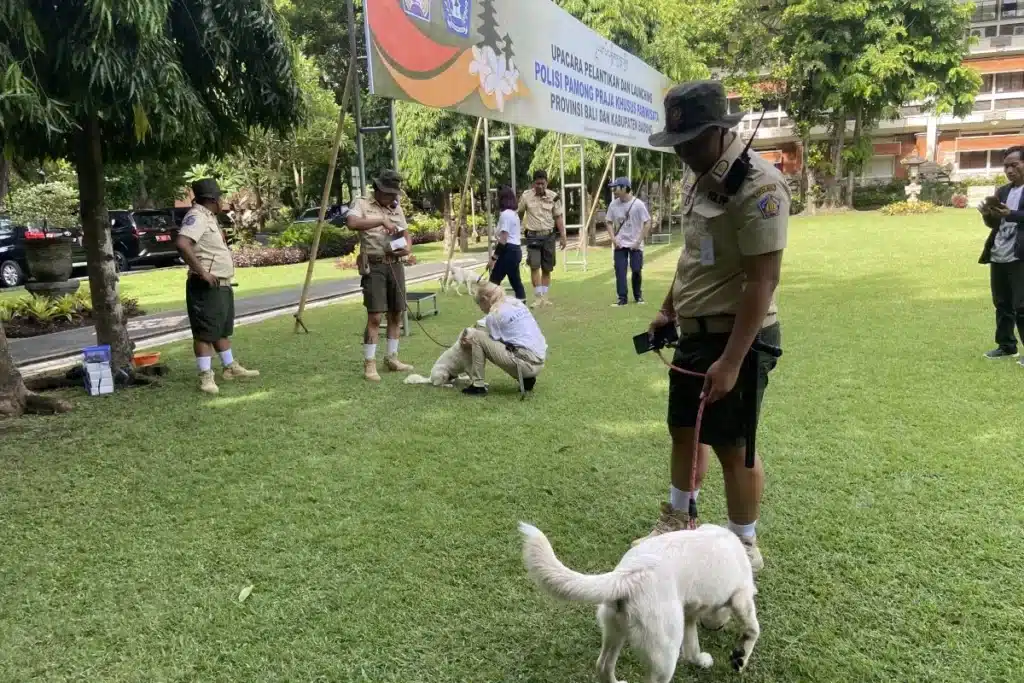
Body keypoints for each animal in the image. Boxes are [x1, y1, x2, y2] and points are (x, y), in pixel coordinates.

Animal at [520, 524, 761, 683]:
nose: (715, 626)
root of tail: (630, 574)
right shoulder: (742, 595)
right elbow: (753, 628)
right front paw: (741, 657)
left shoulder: (688, 616)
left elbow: (692, 648)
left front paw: (701, 660)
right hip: (665, 656)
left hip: (615, 630)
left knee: (603, 666)